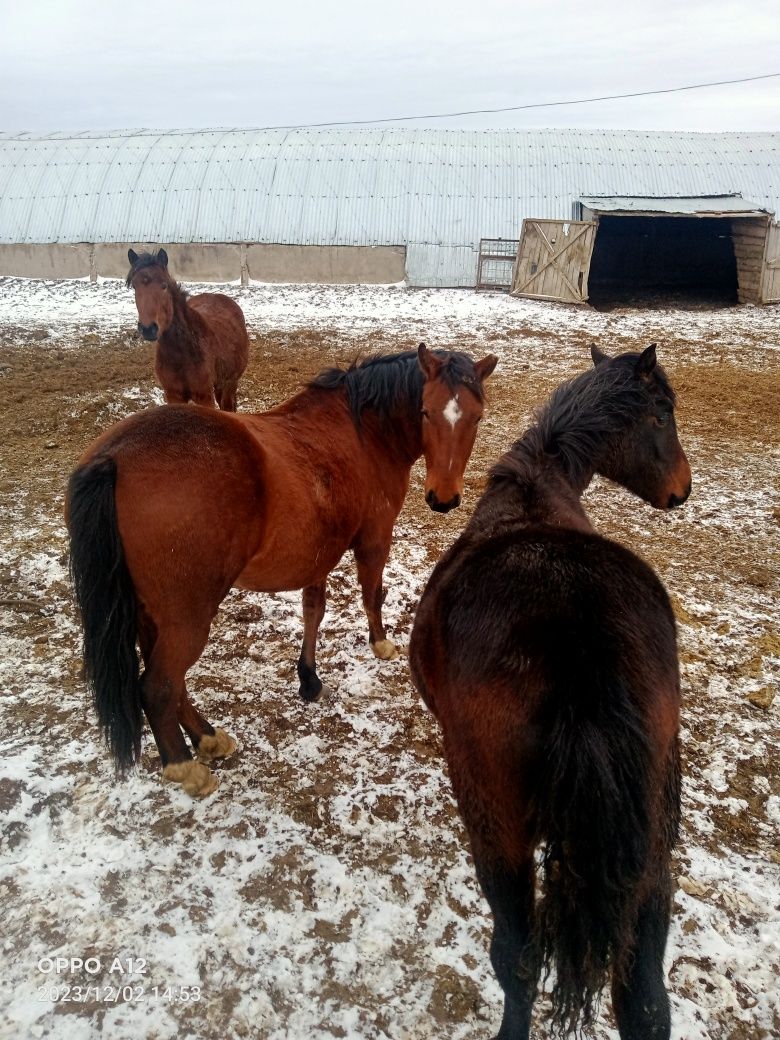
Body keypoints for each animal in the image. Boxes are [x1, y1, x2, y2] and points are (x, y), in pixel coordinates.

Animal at [65, 347, 495, 794]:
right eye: (425, 411)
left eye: (477, 416)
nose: (443, 498)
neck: (363, 431)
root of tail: (114, 457)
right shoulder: (375, 539)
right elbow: (371, 595)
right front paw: (380, 644)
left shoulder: (319, 551)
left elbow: (313, 609)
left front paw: (309, 678)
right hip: (188, 616)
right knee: (158, 686)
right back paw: (185, 766)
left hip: (150, 613)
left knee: (169, 680)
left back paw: (207, 737)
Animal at [127, 249, 250, 411]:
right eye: (134, 286)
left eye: (164, 285)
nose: (148, 329)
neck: (182, 352)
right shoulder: (173, 396)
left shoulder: (204, 397)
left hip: (229, 384)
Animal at [411, 347, 694, 1040]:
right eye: (663, 413)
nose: (682, 487)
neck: (537, 481)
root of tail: (580, 648)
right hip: (651, 851)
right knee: (645, 997)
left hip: (498, 832)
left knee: (517, 957)